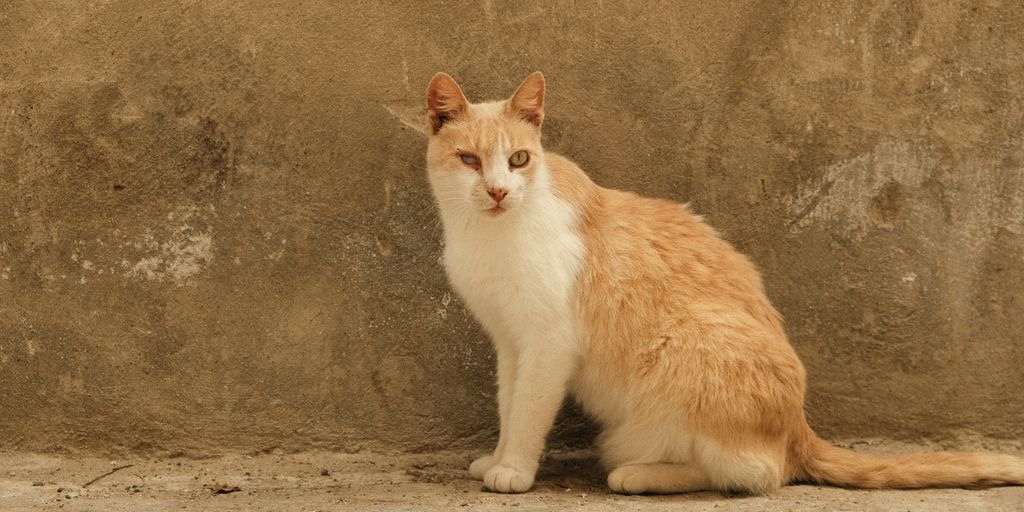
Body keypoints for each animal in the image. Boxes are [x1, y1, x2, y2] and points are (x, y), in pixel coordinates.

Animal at [421, 70, 1024, 493]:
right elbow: (507, 404)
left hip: (688, 348)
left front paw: (514, 470)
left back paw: (640, 475)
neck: (489, 234)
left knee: (757, 473)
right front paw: (497, 457)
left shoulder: (548, 343)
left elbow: (527, 412)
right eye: (470, 160)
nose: (499, 191)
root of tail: (799, 426)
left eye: (520, 159)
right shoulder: (510, 342)